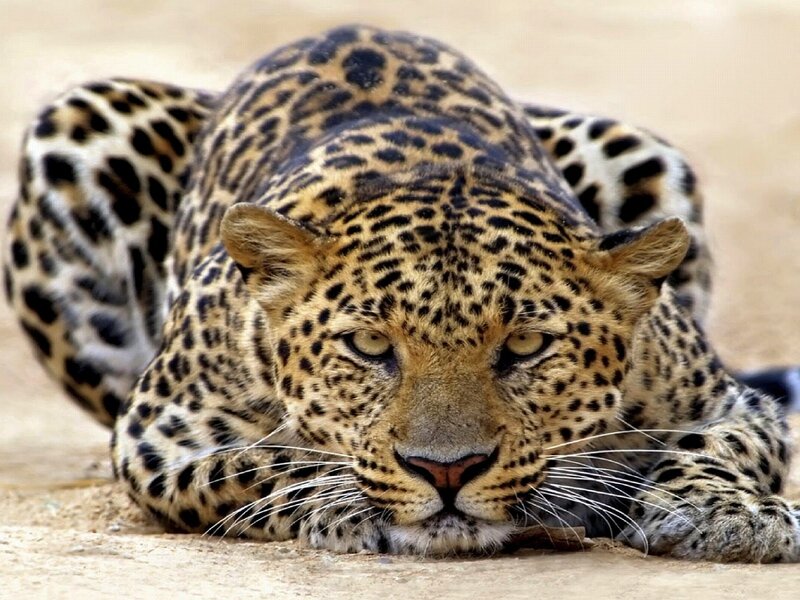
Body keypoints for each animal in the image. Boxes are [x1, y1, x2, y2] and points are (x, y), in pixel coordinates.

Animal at [5, 25, 800, 562]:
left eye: (526, 346)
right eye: (368, 346)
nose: (447, 470)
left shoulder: (728, 403)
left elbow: (719, 446)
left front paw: (726, 514)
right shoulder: (159, 433)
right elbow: (263, 463)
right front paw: (347, 503)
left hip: (636, 146)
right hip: (77, 125)